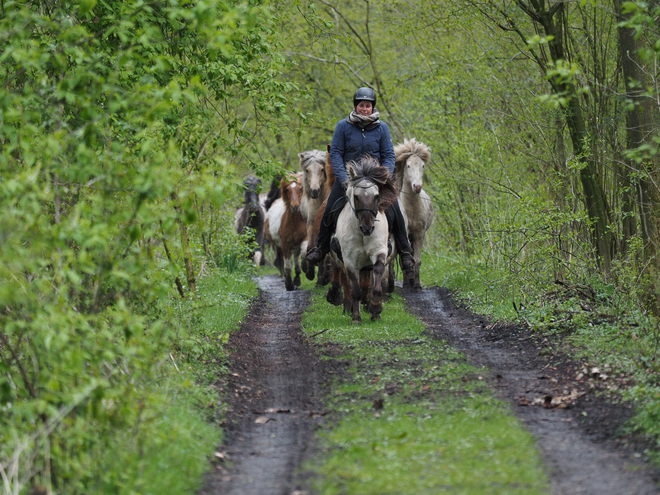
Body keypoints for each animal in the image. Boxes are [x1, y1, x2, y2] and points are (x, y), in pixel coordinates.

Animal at [328, 156, 398, 326]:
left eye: (377, 196)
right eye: (356, 196)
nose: (368, 227)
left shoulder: (379, 252)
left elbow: (377, 275)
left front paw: (376, 309)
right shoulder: (350, 260)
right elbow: (355, 289)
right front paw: (356, 318)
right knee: (347, 283)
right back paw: (348, 308)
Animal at [394, 138, 436, 290]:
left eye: (422, 166)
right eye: (408, 165)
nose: (417, 187)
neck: (411, 209)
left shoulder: (419, 234)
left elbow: (417, 260)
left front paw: (417, 285)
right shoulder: (404, 233)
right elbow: (405, 258)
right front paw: (407, 283)